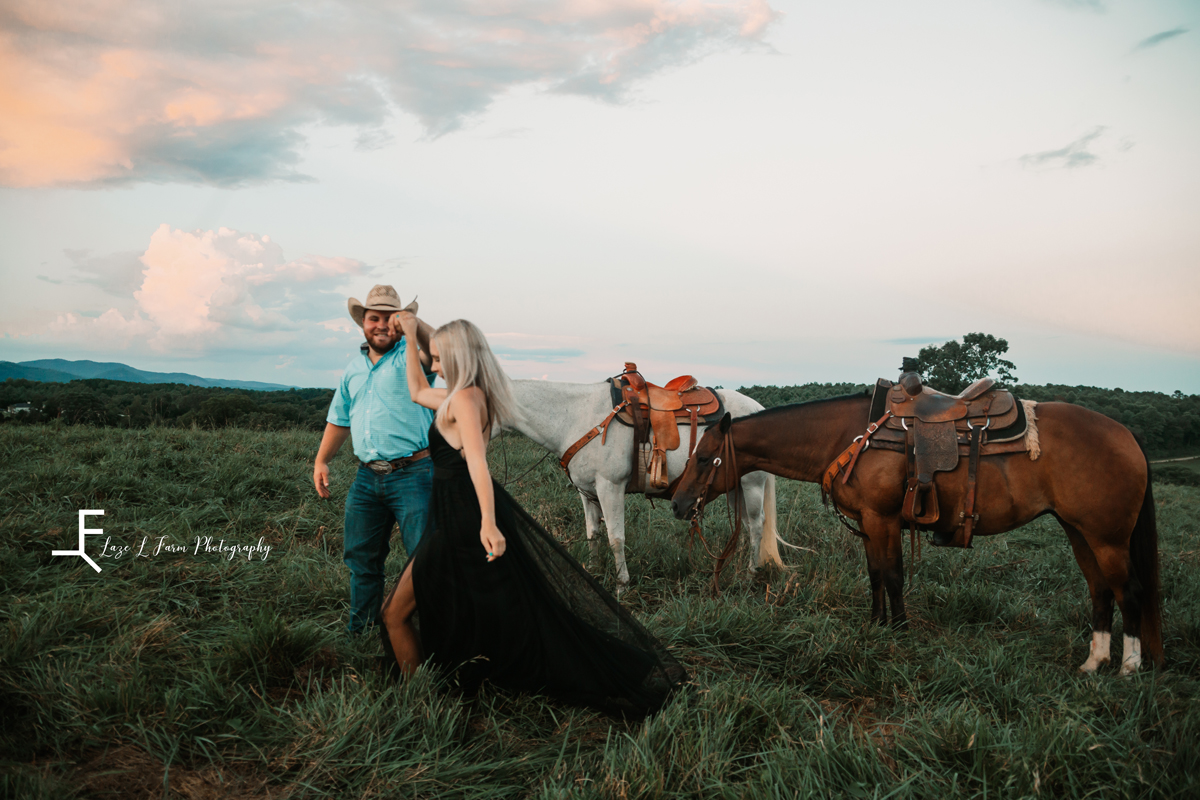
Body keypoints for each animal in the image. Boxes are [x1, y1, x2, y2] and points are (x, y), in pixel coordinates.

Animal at [501, 379, 782, 585]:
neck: (579, 417)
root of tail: (758, 408)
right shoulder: (586, 492)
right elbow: (593, 534)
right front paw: (593, 571)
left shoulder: (610, 487)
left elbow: (616, 538)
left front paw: (622, 585)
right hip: (735, 487)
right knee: (744, 525)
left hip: (752, 485)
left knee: (756, 525)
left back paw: (750, 573)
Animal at [667, 398, 1161, 671]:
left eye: (705, 457)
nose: (677, 503)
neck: (852, 438)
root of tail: (1127, 435)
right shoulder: (869, 525)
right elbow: (875, 577)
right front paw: (876, 624)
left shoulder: (883, 520)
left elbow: (893, 576)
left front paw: (900, 631)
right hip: (1080, 533)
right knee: (1100, 591)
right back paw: (1094, 662)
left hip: (1107, 539)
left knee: (1130, 592)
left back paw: (1129, 667)